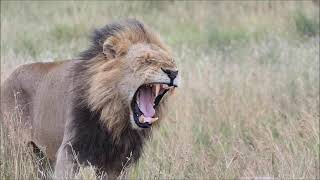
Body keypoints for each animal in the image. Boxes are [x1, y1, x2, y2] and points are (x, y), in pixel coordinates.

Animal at [0, 19, 179, 179]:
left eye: (172, 61)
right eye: (146, 60)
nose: (173, 72)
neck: (113, 119)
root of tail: (8, 79)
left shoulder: (118, 163)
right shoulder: (69, 152)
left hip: (43, 156)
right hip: (17, 150)